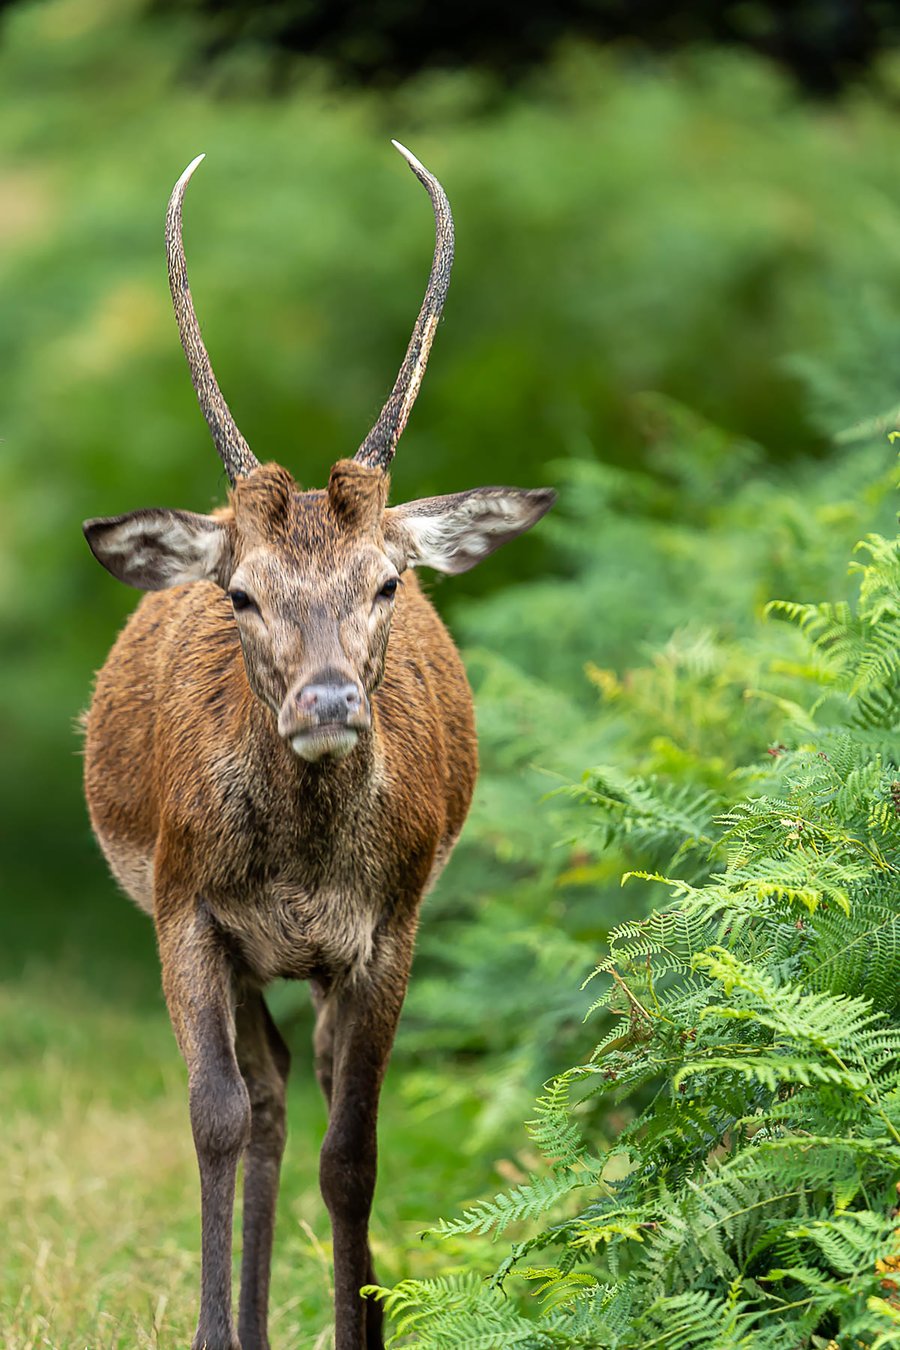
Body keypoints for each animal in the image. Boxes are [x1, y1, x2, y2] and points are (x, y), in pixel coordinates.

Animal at [81, 142, 554, 1350]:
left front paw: (360, 1324)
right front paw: (213, 1331)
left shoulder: (389, 927)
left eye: (385, 582)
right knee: (264, 1095)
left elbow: (357, 1150)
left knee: (313, 1082)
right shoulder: (184, 905)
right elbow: (214, 1116)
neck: (299, 872)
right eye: (242, 592)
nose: (330, 701)